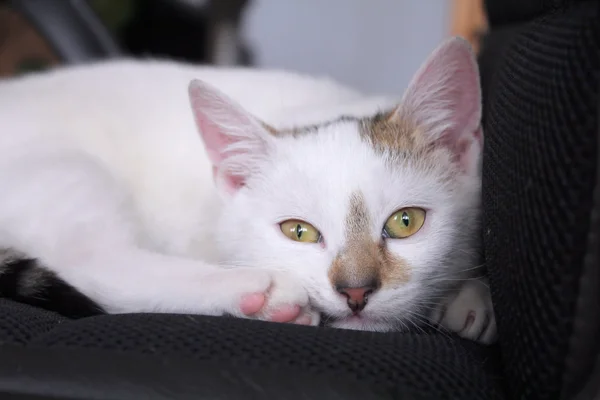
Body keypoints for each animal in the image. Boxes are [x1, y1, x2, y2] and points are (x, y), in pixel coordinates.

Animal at [0, 36, 496, 344]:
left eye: (406, 222)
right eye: (298, 232)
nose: (355, 292)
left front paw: (472, 297)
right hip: (66, 169)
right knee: (92, 261)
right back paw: (264, 293)